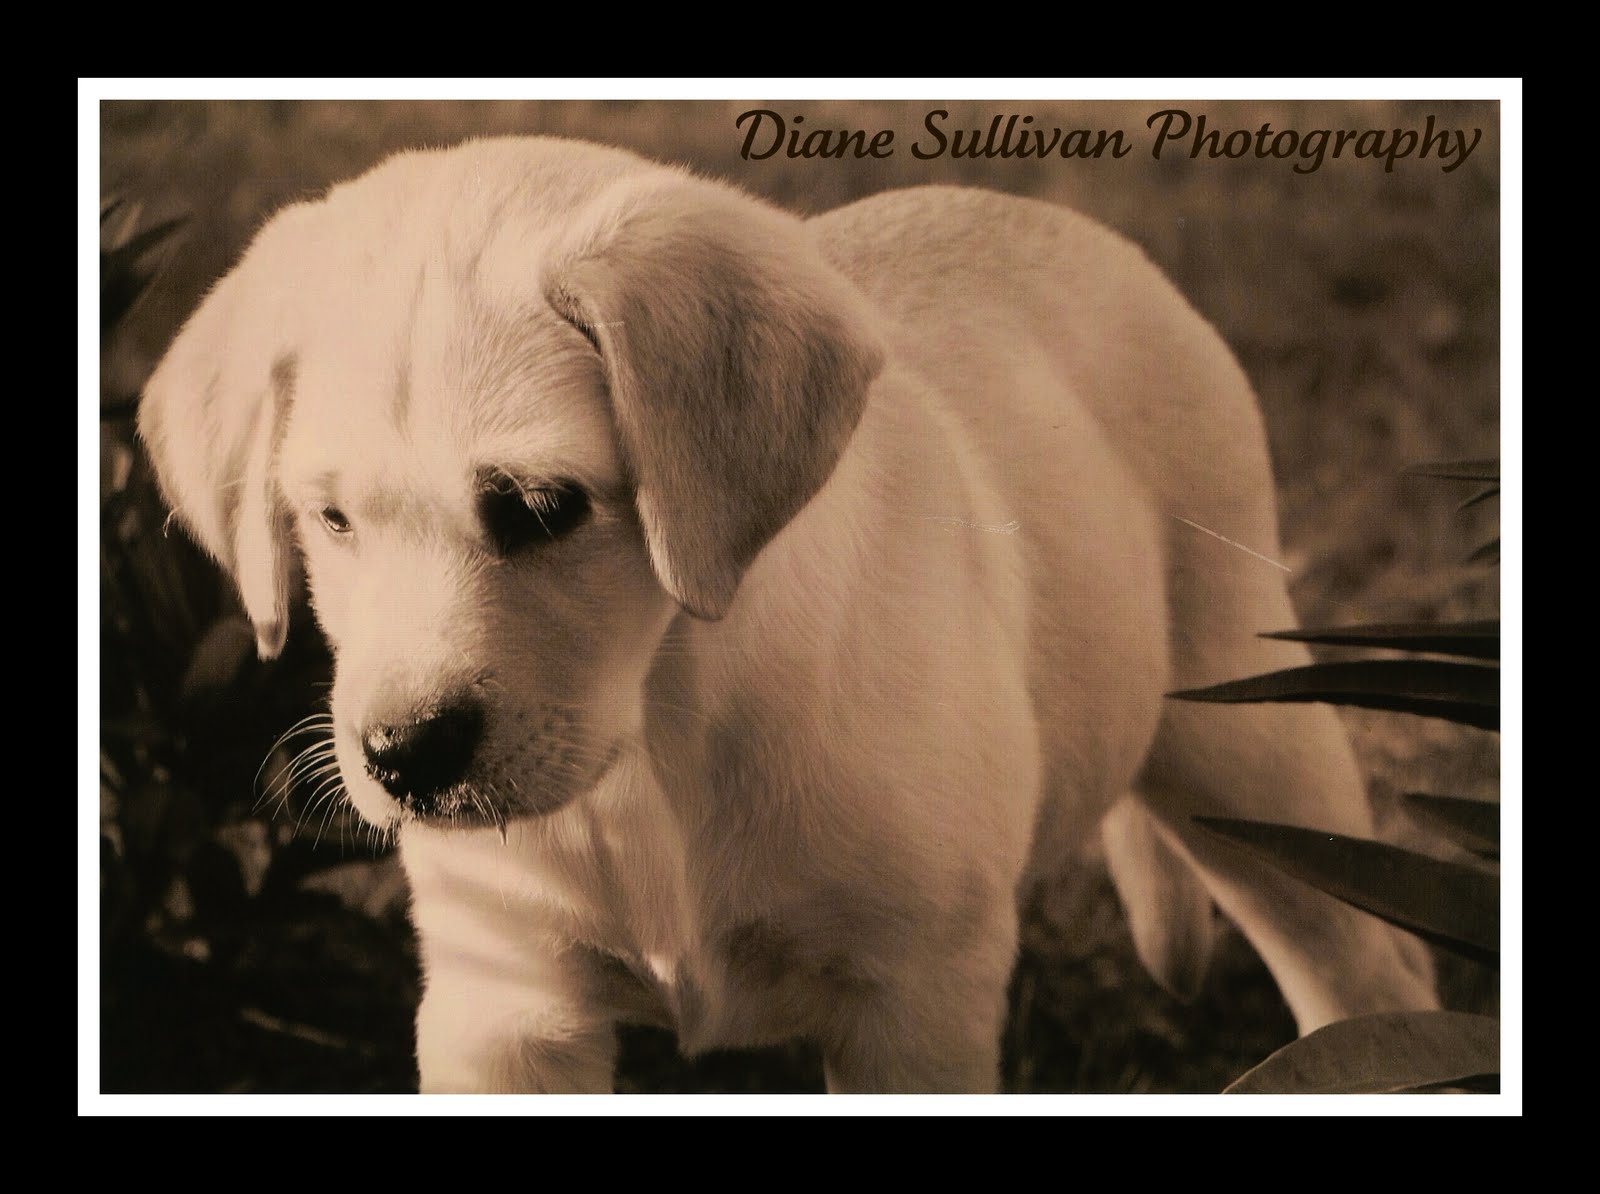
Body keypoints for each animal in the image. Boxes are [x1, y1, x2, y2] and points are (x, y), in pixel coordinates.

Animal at [138, 136, 1437, 1092]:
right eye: (327, 520)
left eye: (541, 508)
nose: (403, 756)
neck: (658, 738)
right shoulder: (504, 1004)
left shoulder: (914, 1003)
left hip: (1245, 730)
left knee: (1370, 969)